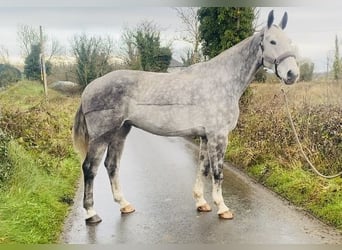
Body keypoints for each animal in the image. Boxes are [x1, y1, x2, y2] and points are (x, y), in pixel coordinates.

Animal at [73, 10, 300, 225]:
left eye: (290, 41)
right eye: (272, 41)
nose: (292, 74)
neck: (222, 81)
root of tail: (89, 88)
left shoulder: (206, 136)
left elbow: (203, 169)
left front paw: (201, 202)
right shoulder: (218, 136)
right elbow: (218, 172)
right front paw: (222, 208)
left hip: (120, 131)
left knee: (111, 165)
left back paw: (124, 204)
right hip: (101, 137)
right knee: (89, 168)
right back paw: (91, 214)